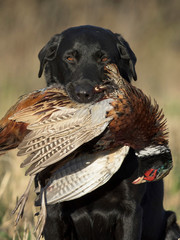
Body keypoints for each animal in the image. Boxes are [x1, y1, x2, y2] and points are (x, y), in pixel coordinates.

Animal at [37, 24, 179, 240]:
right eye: (69, 58)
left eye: (104, 59)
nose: (84, 93)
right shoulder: (53, 212)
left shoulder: (130, 211)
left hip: (171, 224)